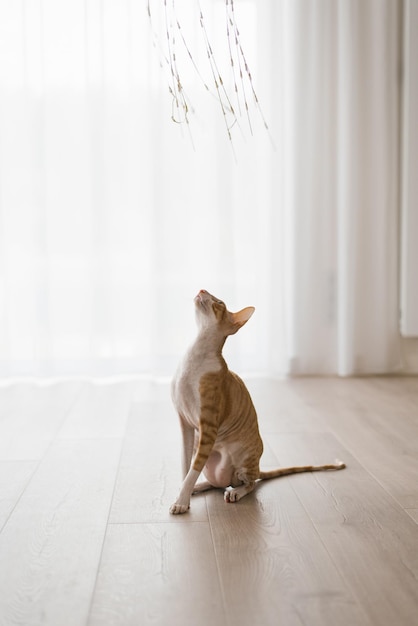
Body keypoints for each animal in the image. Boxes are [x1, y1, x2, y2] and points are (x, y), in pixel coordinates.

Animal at [168, 288, 344, 512]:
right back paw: (199, 487)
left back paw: (235, 492)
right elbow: (186, 465)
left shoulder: (208, 427)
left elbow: (194, 466)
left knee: (250, 483)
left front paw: (181, 501)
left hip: (243, 462)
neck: (194, 356)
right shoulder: (185, 424)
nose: (202, 290)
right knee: (217, 482)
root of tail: (258, 467)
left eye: (219, 303)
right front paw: (183, 493)